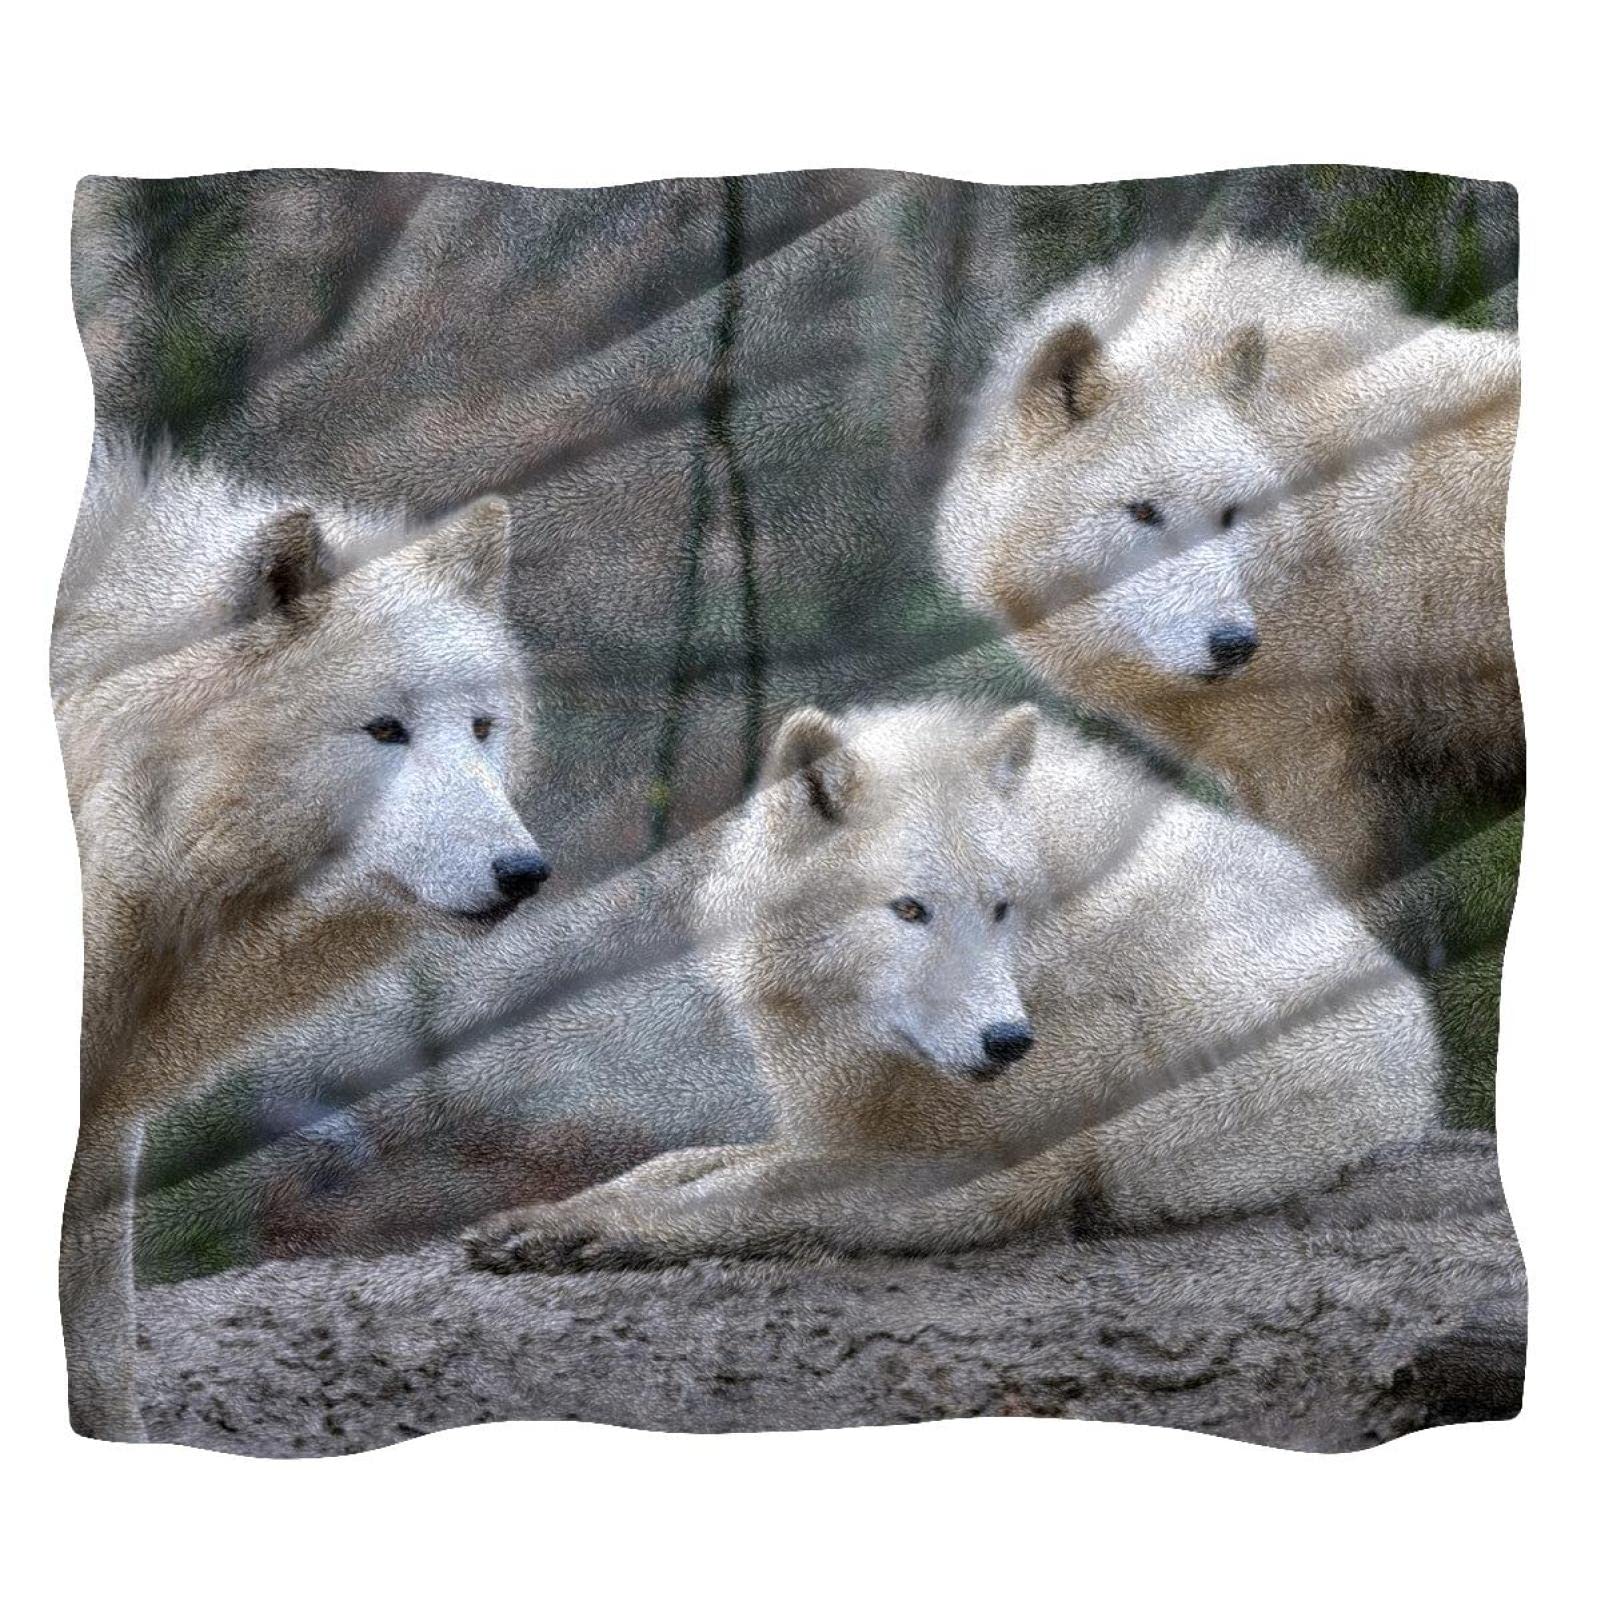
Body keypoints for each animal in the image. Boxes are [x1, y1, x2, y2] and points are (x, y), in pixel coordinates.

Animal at [464, 700, 1438, 1272]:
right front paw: (564, 1209)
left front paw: (581, 1230)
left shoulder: (971, 1174)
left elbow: (745, 1195)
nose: (1008, 1041)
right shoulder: (857, 1120)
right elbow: (687, 1160)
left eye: (999, 905)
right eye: (909, 908)